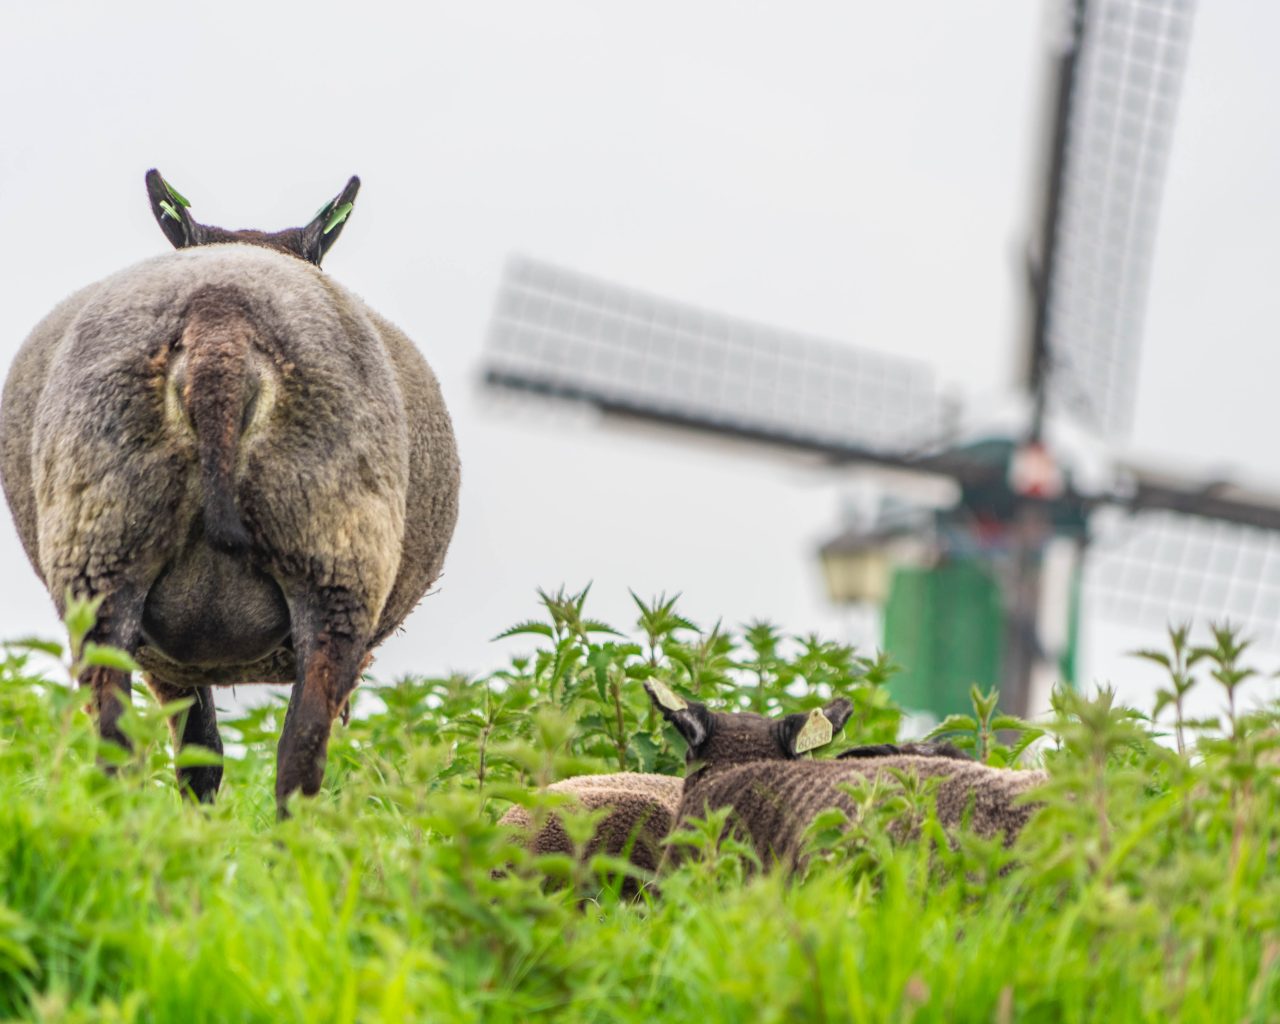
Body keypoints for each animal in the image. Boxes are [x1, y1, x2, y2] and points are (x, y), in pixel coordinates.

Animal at [0, 170, 460, 814]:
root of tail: (220, 318)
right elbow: (206, 754)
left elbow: (199, 754)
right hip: (336, 553)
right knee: (298, 755)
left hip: (102, 549)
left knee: (118, 746)